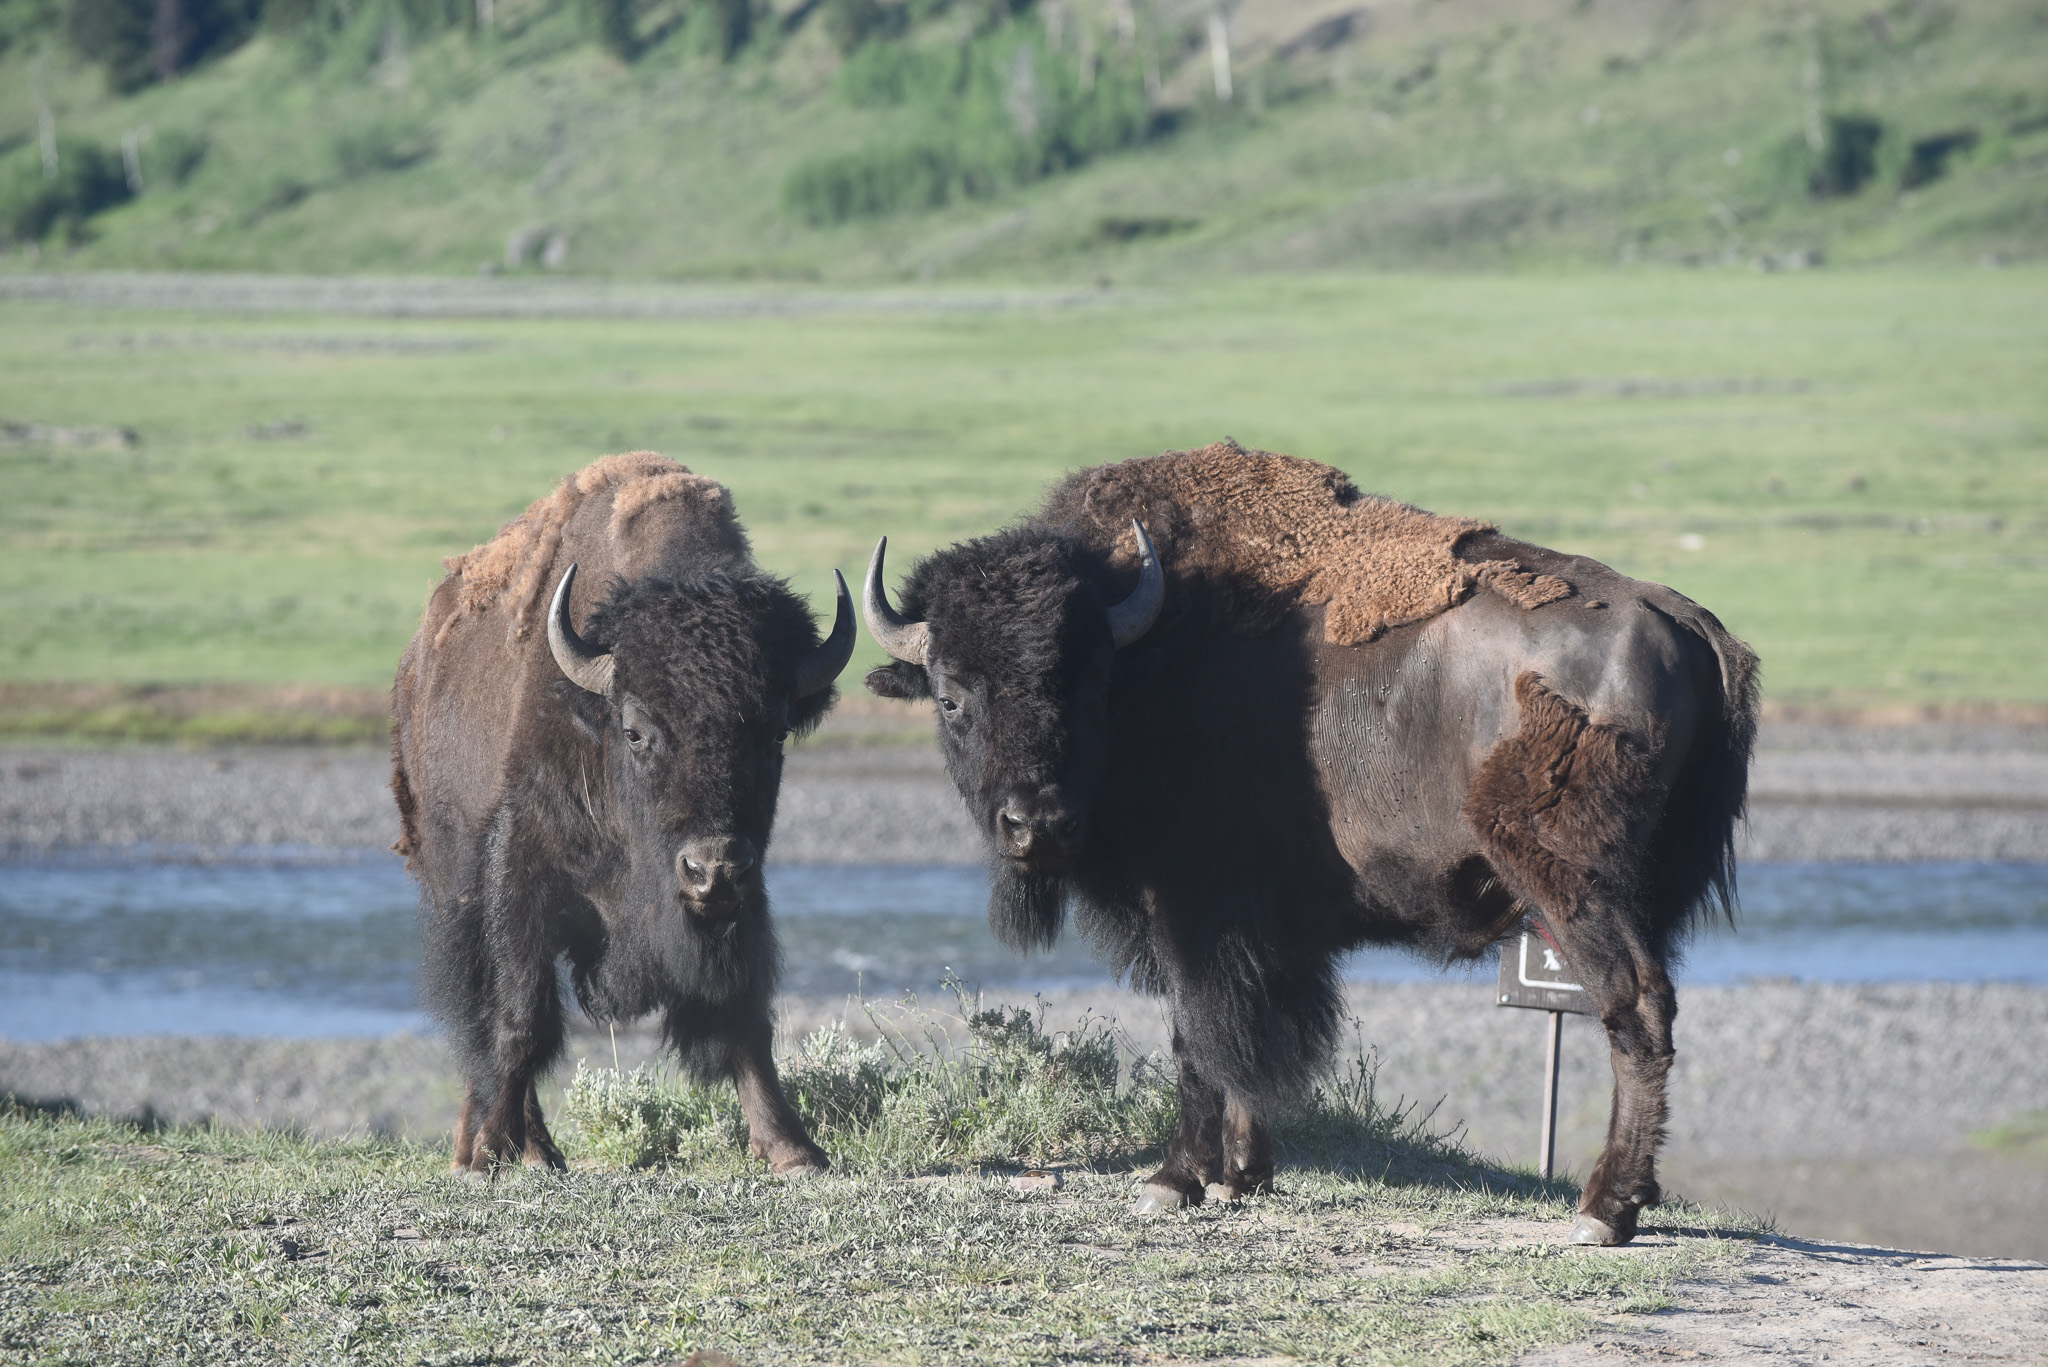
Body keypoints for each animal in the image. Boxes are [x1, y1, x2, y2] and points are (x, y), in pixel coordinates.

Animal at [395, 450, 851, 1180]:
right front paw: (493, 1148)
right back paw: (507, 1146)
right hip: (452, 887)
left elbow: (744, 1015)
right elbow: (520, 1019)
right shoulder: (521, 877)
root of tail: (416, 664)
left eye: (775, 732)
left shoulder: (743, 902)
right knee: (480, 1020)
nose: (711, 866)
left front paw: (793, 1148)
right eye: (637, 732)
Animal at [856, 444, 1753, 1246]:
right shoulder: (1259, 931)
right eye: (950, 695)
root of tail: (1681, 619)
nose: (1036, 823)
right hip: (1651, 891)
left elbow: (1196, 1034)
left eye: (1089, 682)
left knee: (1634, 1008)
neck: (1151, 650)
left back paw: (1602, 1212)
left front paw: (1172, 1181)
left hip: (1573, 885)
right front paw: (1241, 1175)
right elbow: (1247, 1040)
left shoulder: (1188, 913)